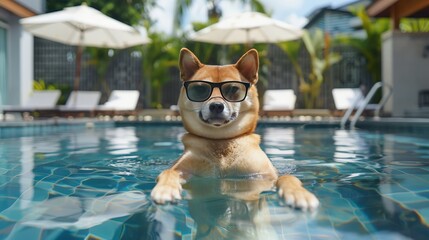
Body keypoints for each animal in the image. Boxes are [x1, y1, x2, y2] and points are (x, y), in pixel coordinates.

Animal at [150, 47, 318, 211]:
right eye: (200, 89)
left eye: (232, 89)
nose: (216, 106)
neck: (221, 142)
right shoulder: (184, 170)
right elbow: (168, 172)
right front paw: (165, 189)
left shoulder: (264, 175)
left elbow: (287, 177)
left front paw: (299, 194)